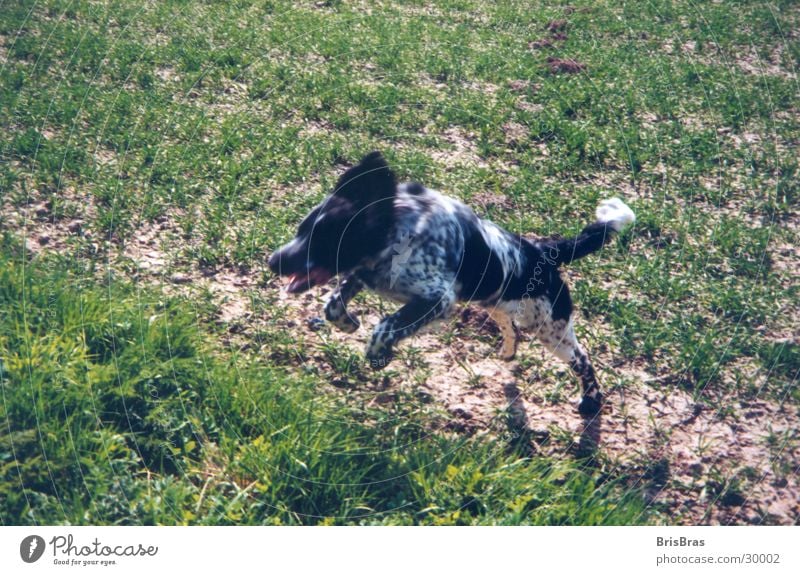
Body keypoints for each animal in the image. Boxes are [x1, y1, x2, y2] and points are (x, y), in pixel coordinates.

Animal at [268, 151, 632, 416]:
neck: (400, 234)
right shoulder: (363, 274)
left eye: (323, 241)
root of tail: (546, 252)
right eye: (301, 230)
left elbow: (385, 326)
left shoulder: (438, 299)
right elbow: (333, 306)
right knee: (511, 327)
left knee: (581, 359)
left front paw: (379, 355)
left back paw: (591, 402)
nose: (273, 261)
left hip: (550, 328)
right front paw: (350, 324)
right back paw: (508, 352)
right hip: (498, 303)